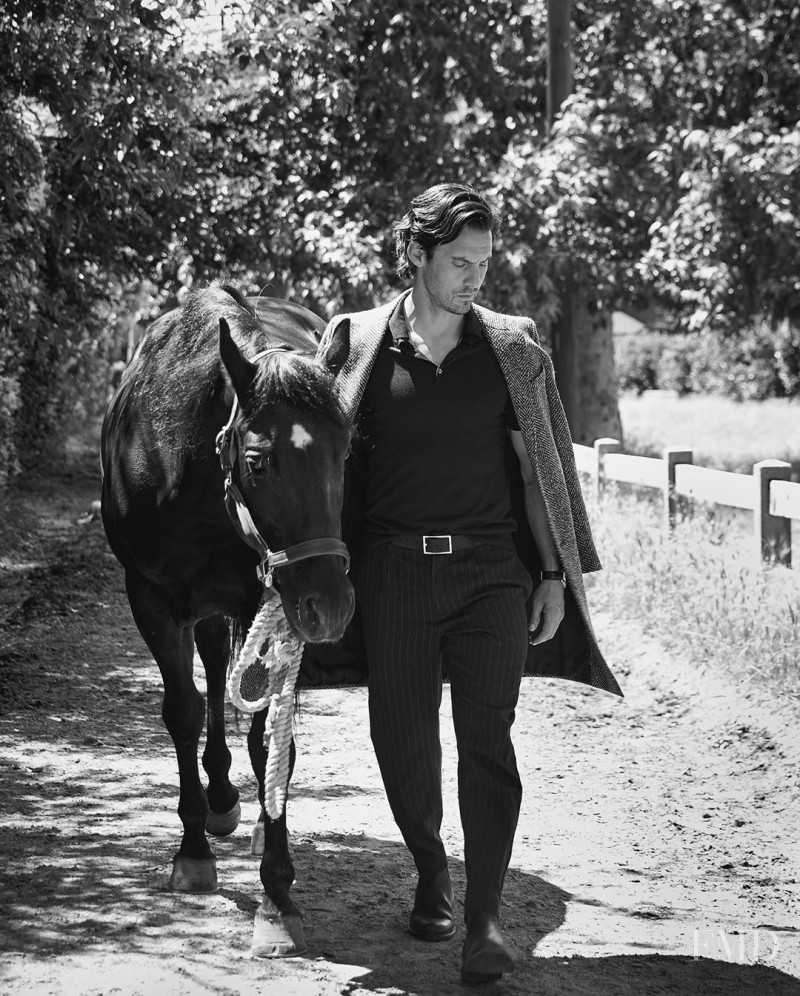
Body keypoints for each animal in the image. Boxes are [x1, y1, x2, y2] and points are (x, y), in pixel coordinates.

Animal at [100, 284, 354, 952]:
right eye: (260, 462)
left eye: (345, 453)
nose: (331, 604)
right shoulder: (152, 598)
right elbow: (184, 711)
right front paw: (191, 853)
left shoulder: (265, 604)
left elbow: (269, 738)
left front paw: (278, 893)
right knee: (213, 673)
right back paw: (215, 800)